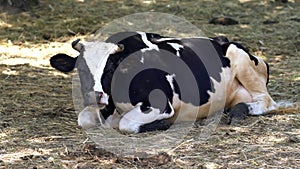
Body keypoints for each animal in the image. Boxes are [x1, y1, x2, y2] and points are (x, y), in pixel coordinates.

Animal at [50, 31, 278, 133]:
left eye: (110, 69)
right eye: (80, 69)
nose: (94, 95)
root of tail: (222, 40)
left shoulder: (160, 104)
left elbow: (125, 124)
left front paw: (161, 124)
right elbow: (84, 119)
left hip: (242, 60)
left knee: (268, 102)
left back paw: (240, 111)